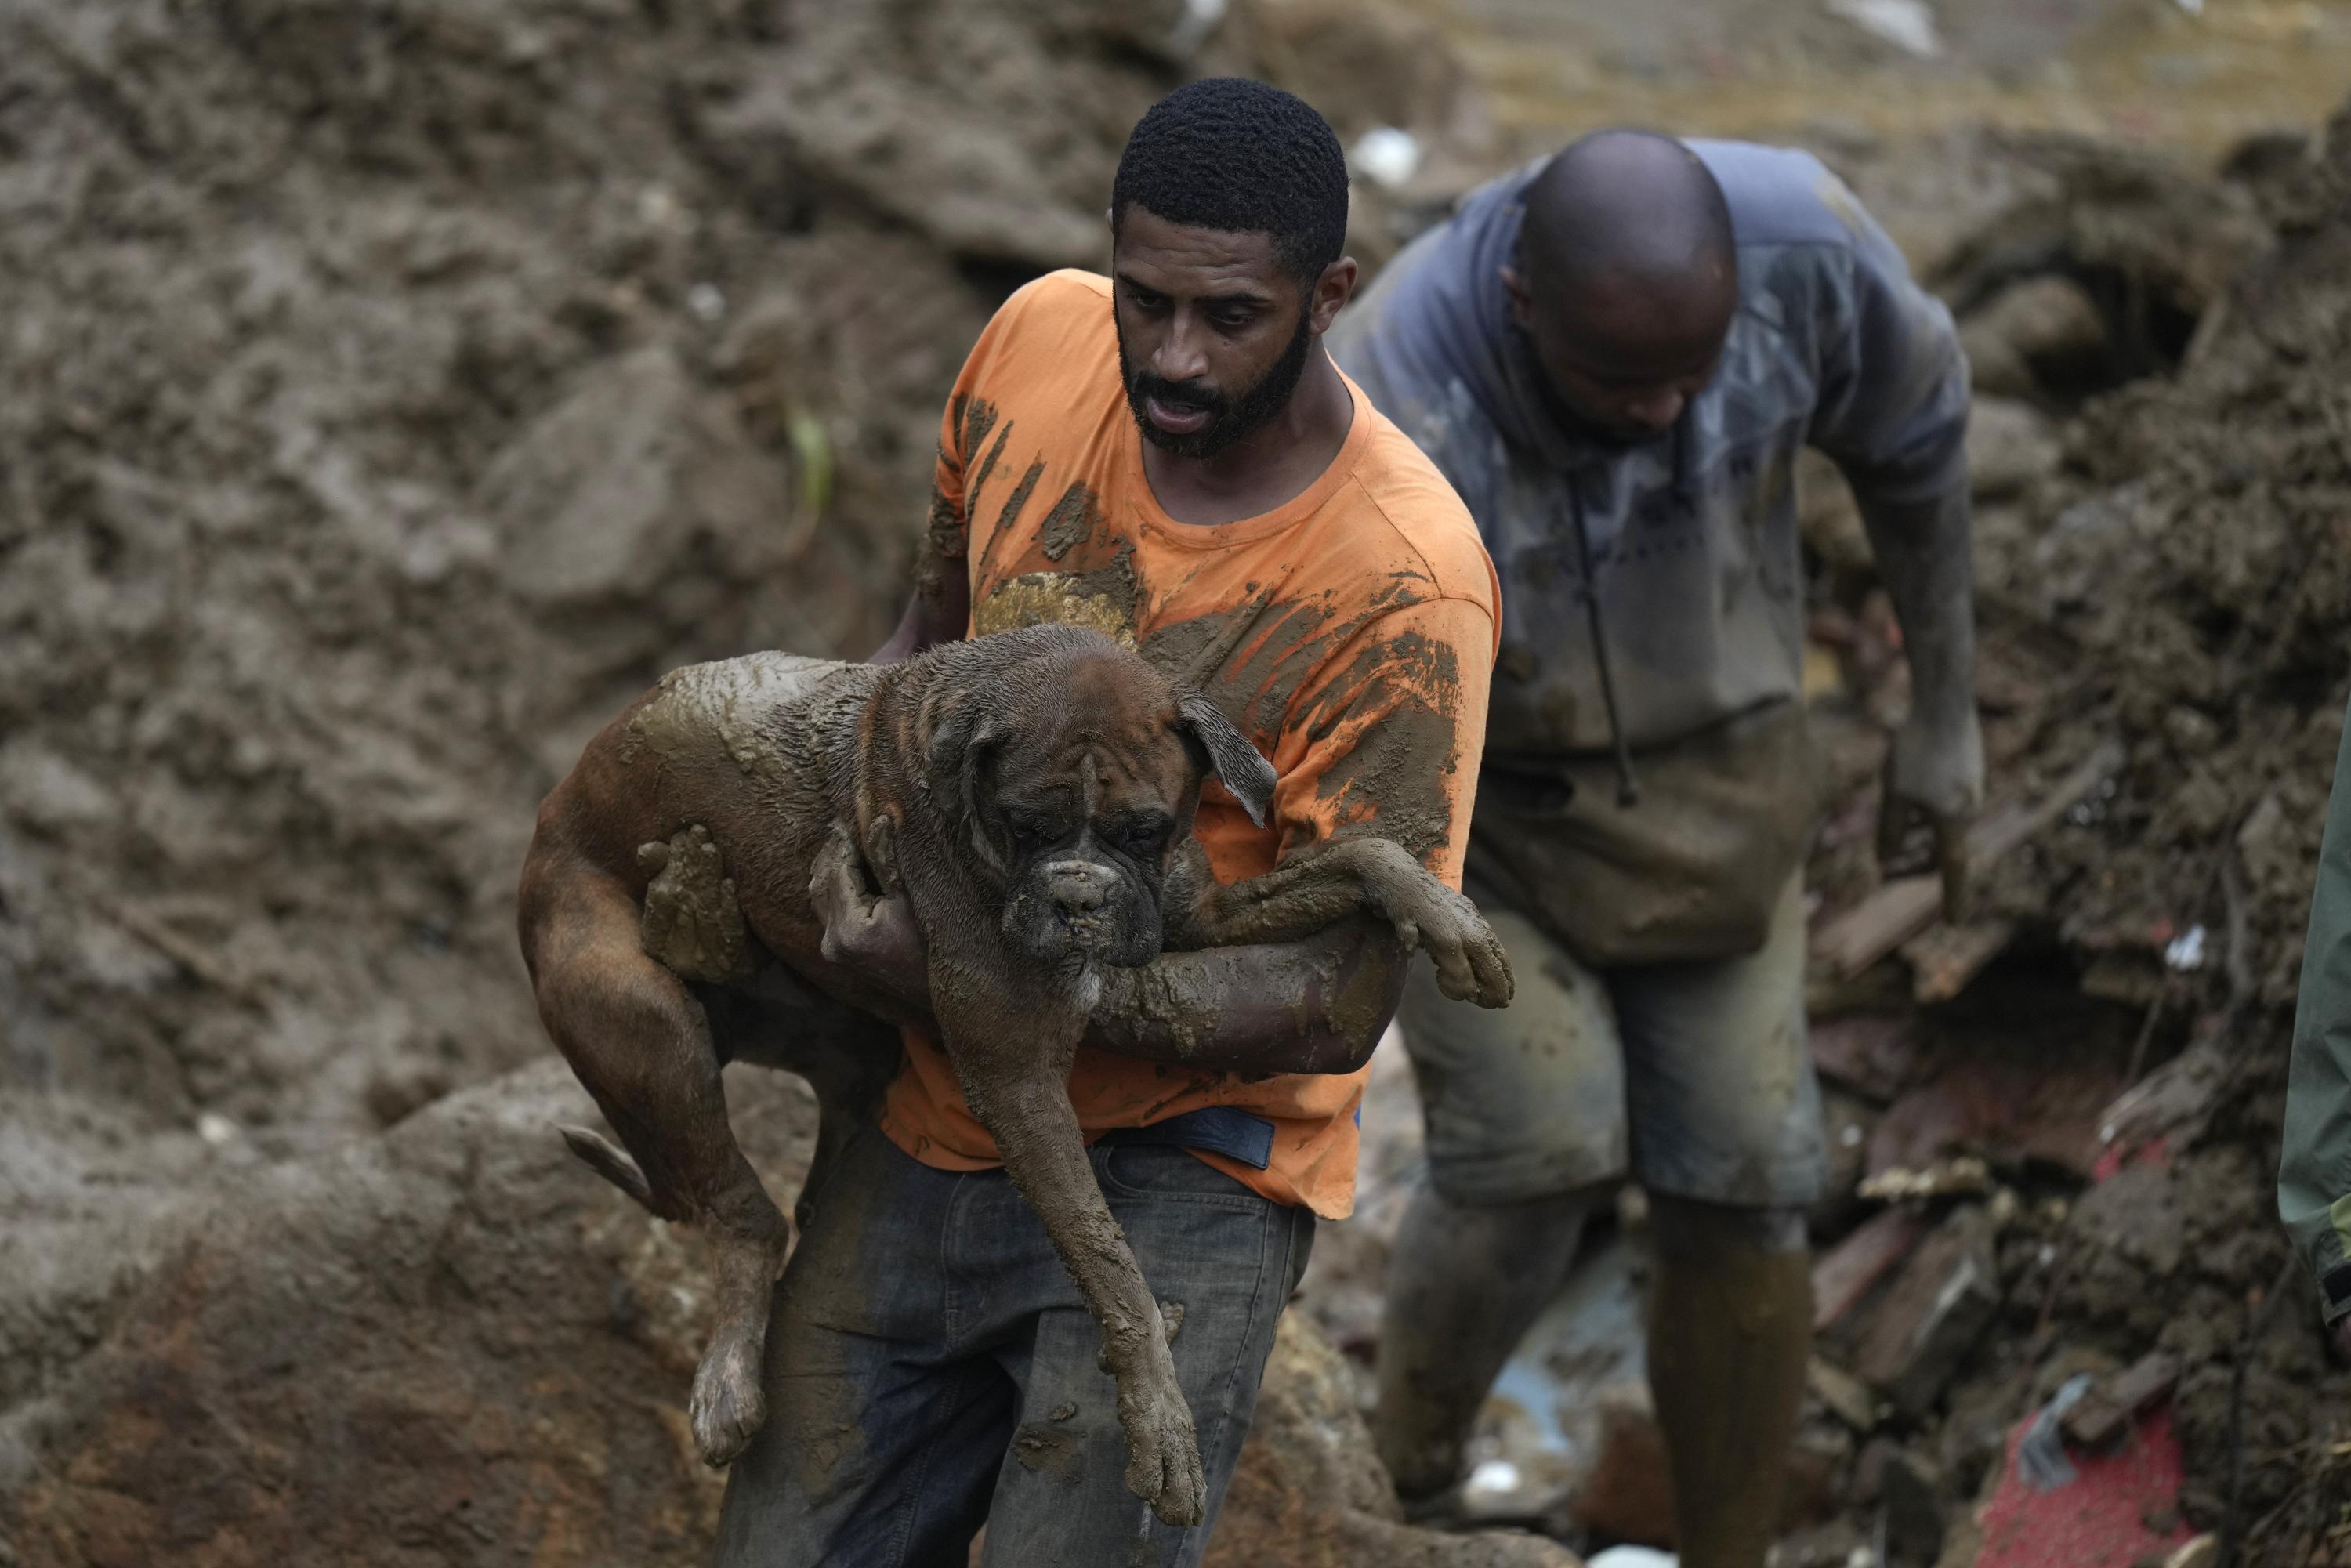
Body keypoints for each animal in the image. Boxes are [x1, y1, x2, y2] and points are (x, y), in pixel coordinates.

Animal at [515, 621, 1505, 1523]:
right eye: (1026, 826)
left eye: (1144, 830)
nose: (1078, 896)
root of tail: (557, 800)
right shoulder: (1018, 1073)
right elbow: (1110, 1261)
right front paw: (1159, 1416)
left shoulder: (1204, 913)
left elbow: (1354, 854)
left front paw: (1442, 913)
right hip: (636, 1019)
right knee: (740, 1213)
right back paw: (729, 1383)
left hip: (828, 1033)